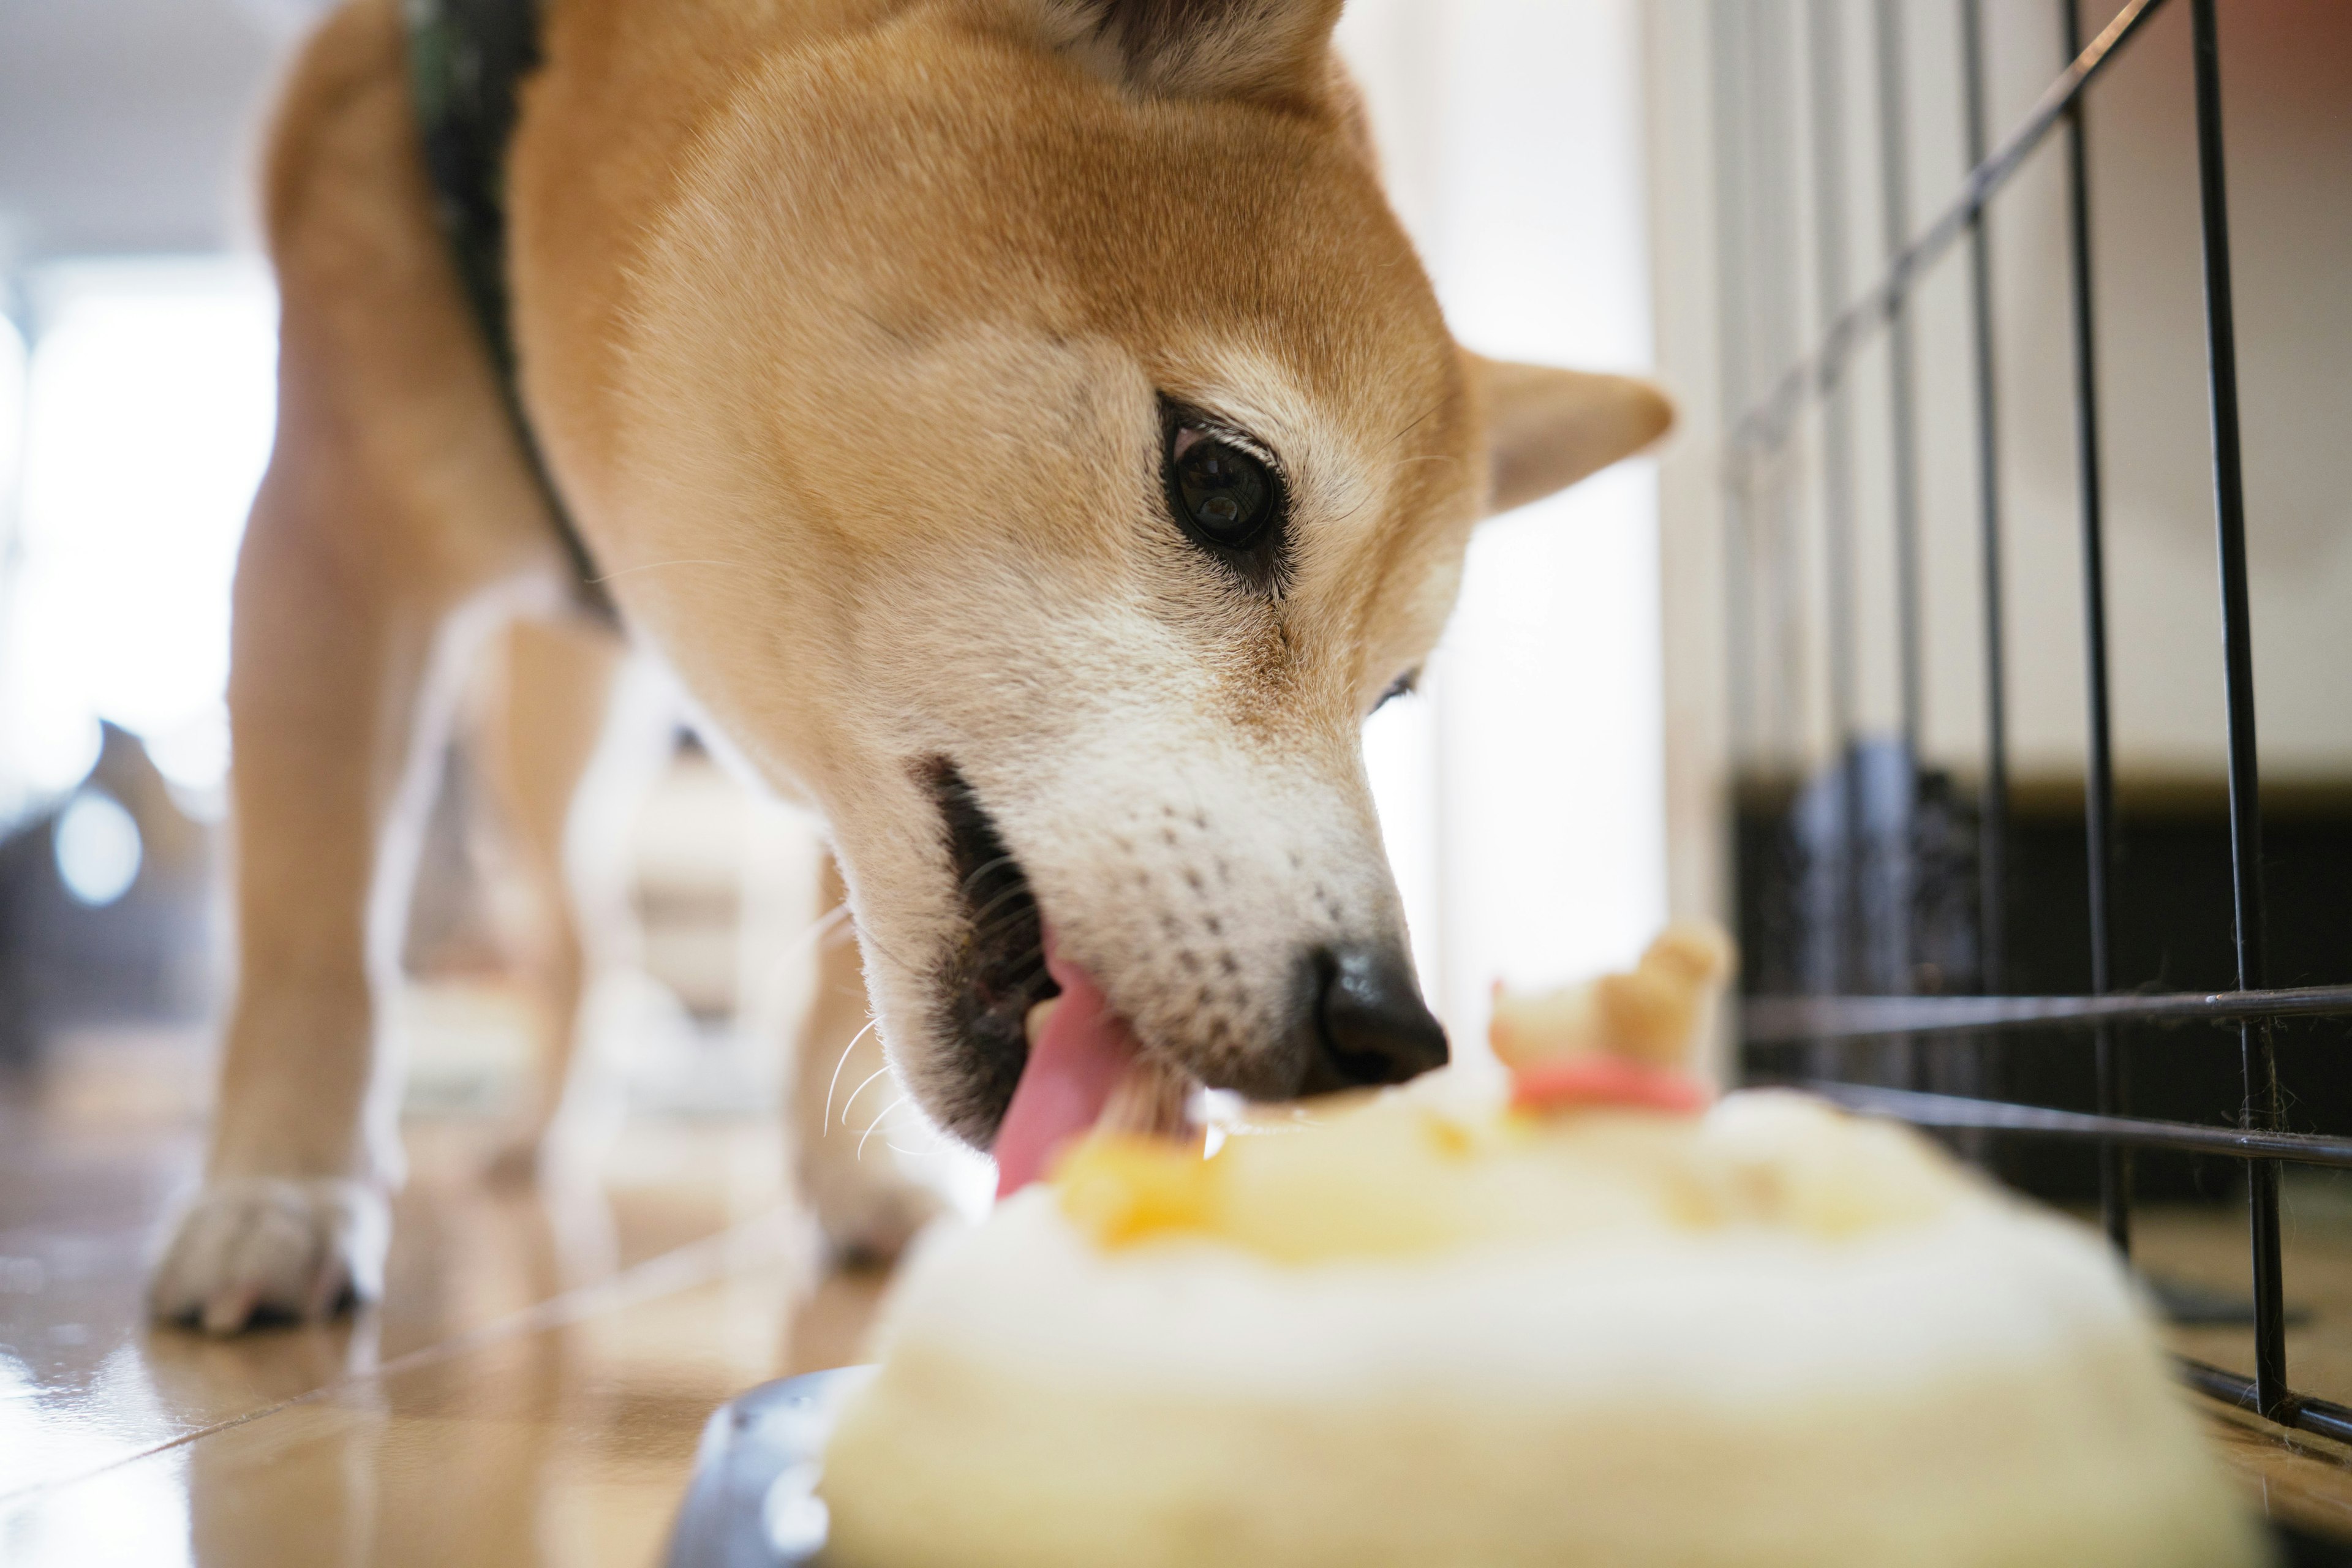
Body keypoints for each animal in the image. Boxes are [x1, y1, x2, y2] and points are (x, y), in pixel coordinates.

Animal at [151, 0, 1675, 1335]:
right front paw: (280, 1193)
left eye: (1392, 694)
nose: (1391, 1031)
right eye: (1225, 485)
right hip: (542, 749)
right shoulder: (323, 543)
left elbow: (839, 958)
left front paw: (859, 1178)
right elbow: (312, 937)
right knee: (582, 932)